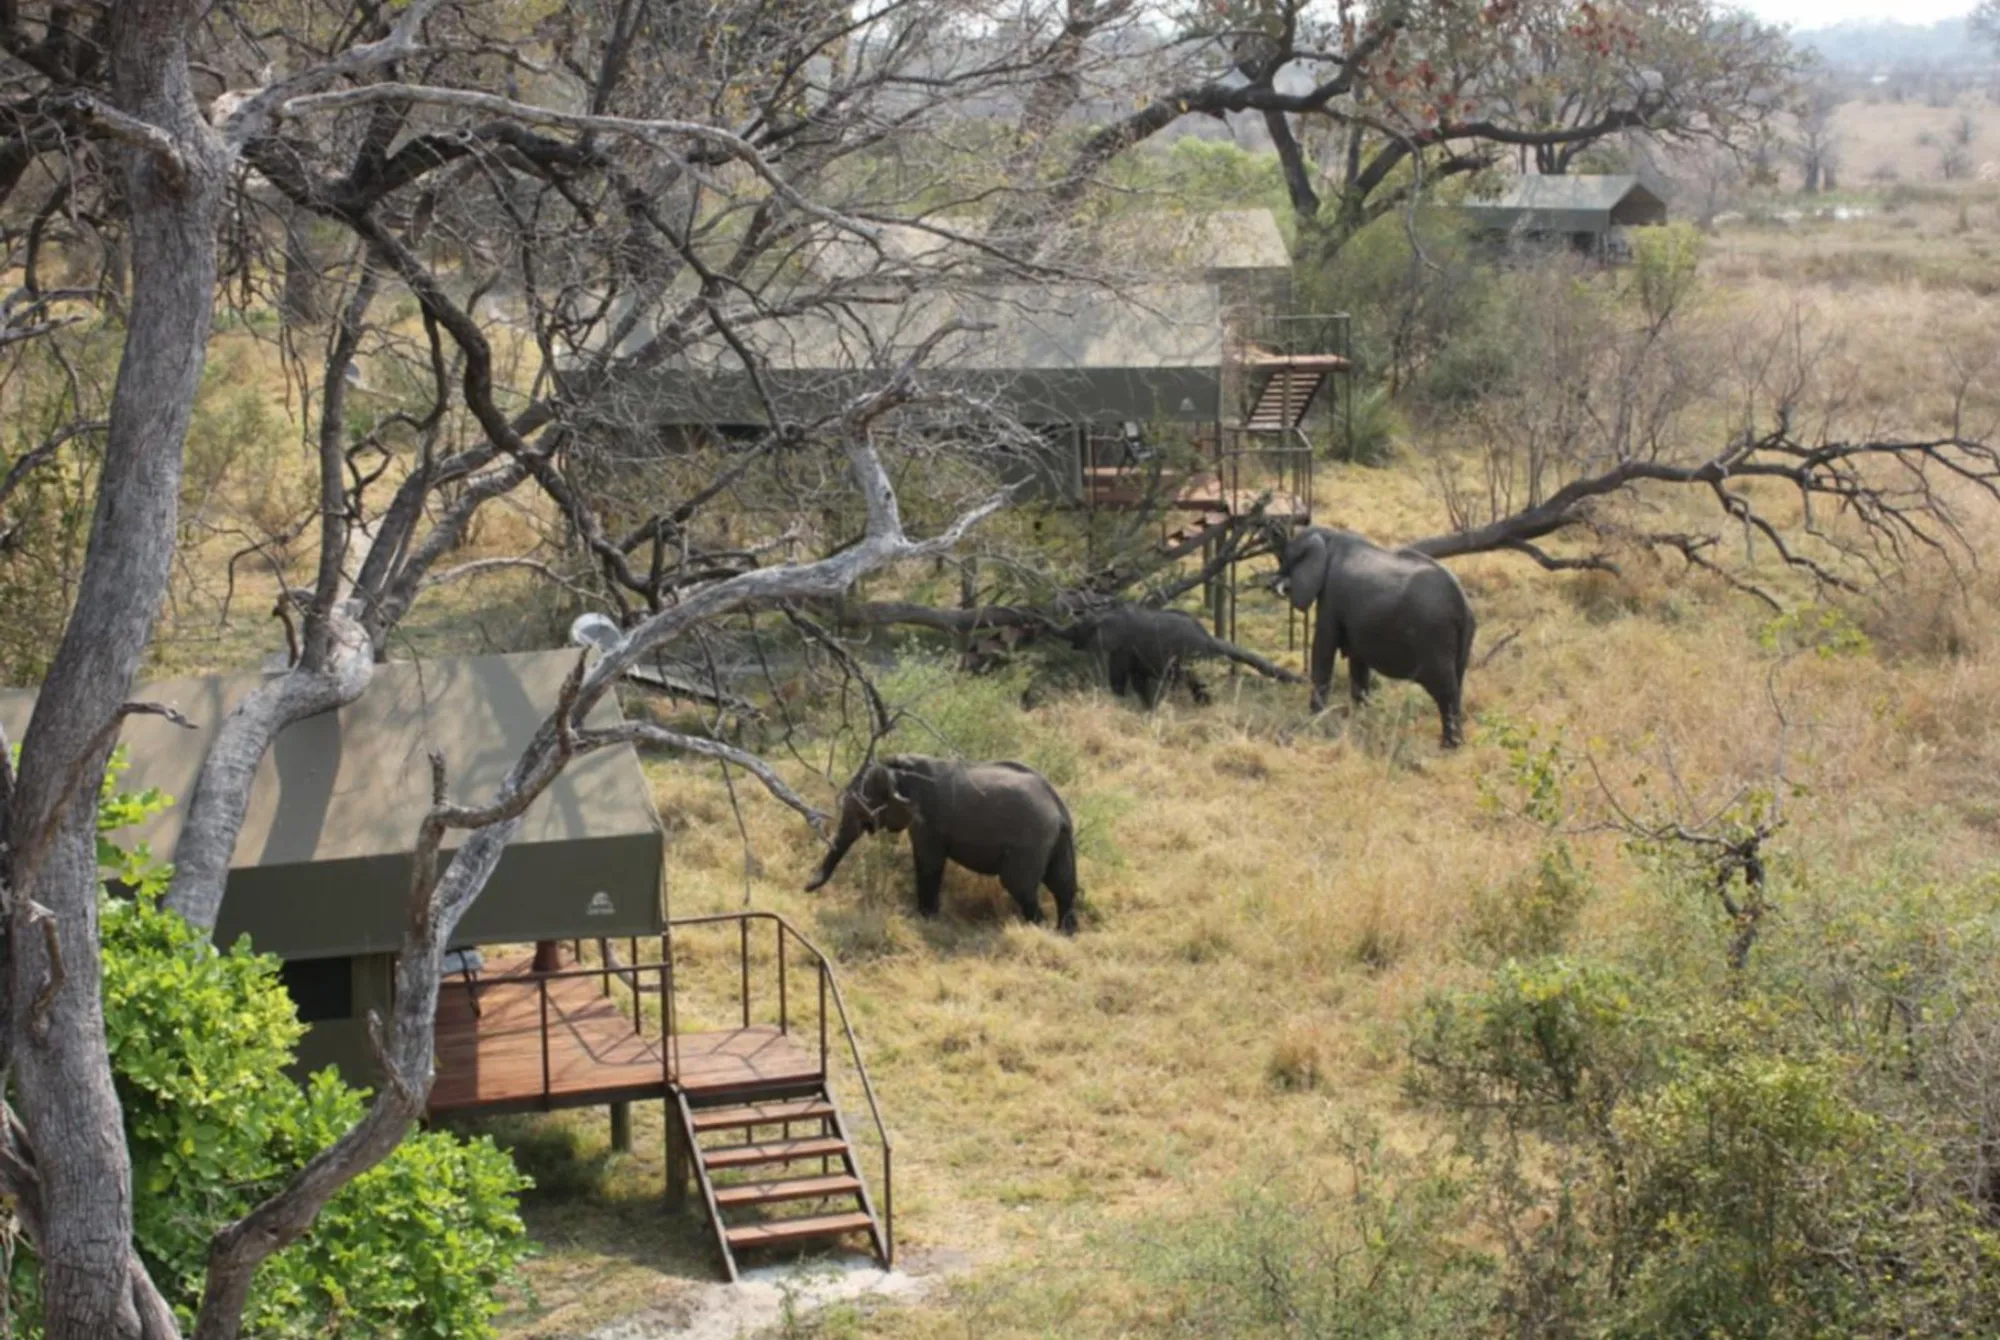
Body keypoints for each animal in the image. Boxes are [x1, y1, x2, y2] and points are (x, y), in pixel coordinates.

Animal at [804, 754, 1079, 933]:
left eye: (865, 804)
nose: (806, 888)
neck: (898, 766)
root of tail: (1059, 807)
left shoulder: (926, 818)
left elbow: (929, 862)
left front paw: (923, 919)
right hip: (1056, 839)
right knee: (1063, 885)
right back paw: (1066, 933)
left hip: (1030, 840)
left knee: (1020, 885)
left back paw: (1038, 930)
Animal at [1056, 602, 1302, 708]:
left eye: (1078, 629)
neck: (1106, 614)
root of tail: (1208, 638)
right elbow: (1138, 680)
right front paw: (1148, 708)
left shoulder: (1123, 648)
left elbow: (1120, 678)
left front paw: (1121, 703)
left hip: (1186, 656)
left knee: (1188, 680)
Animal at [1274, 526, 1476, 748]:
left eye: (1285, 558)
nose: (1275, 584)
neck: (1329, 535)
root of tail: (1462, 603)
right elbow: (1358, 663)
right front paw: (1361, 719)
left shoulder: (1331, 596)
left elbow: (1324, 649)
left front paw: (1313, 719)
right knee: (1457, 683)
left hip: (1435, 637)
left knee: (1445, 691)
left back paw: (1449, 747)